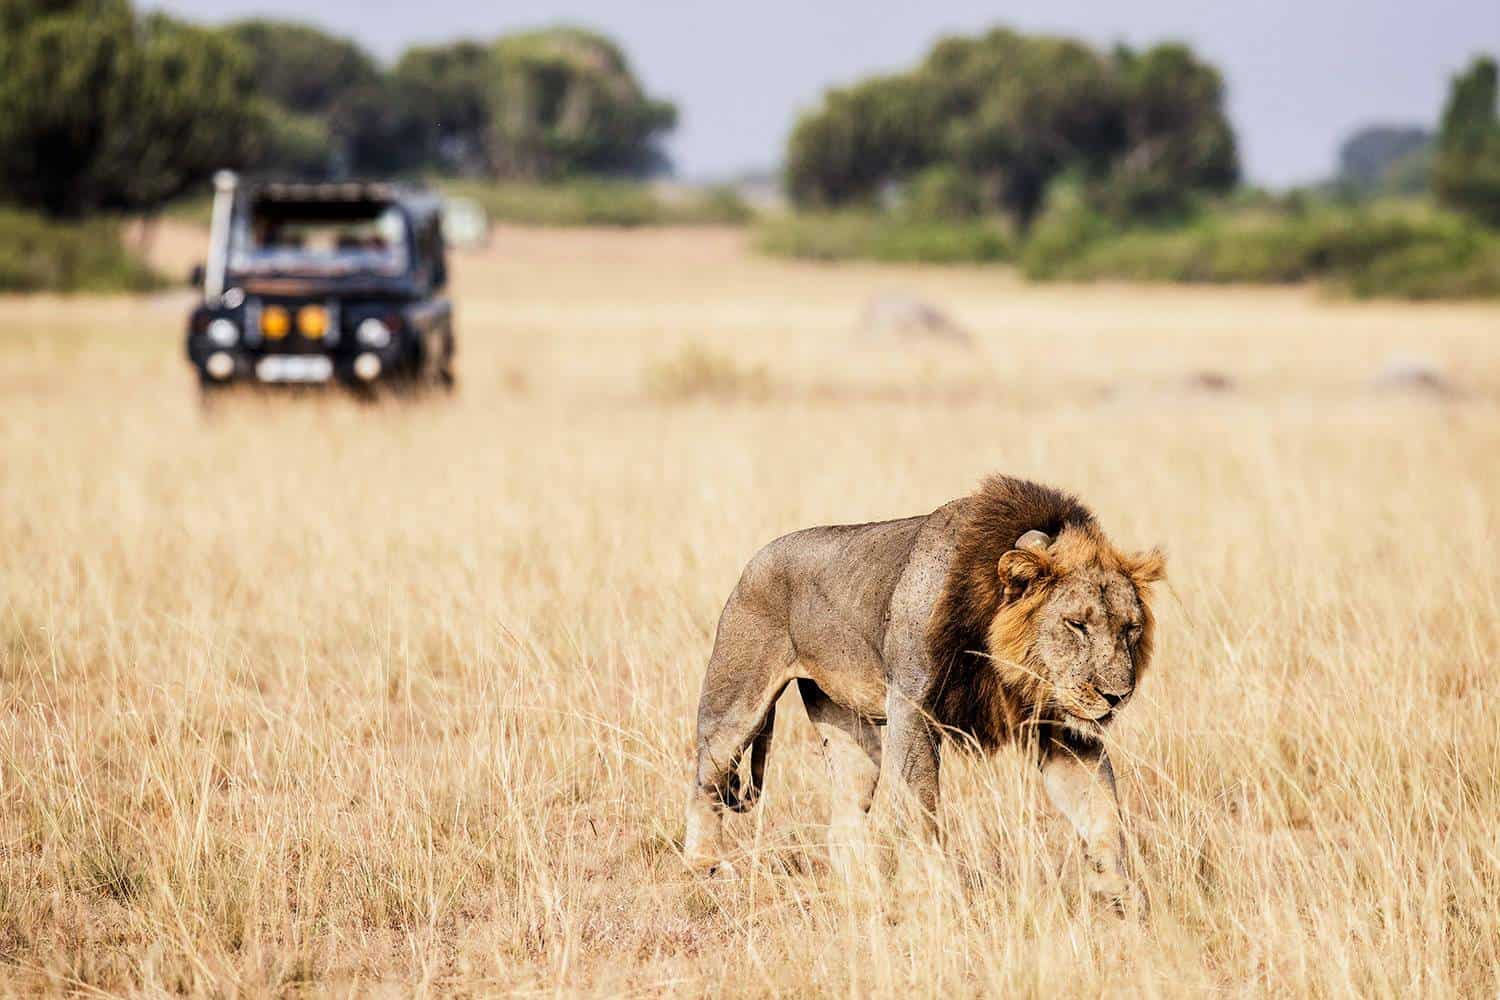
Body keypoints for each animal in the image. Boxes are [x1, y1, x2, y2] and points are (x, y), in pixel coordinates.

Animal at [687, 476, 1164, 905]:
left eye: (1130, 628)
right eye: (1076, 624)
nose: (1117, 695)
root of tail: (756, 559)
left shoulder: (1063, 727)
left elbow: (1102, 809)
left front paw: (1120, 895)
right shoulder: (910, 708)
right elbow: (921, 807)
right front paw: (934, 891)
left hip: (850, 732)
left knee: (845, 815)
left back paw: (866, 893)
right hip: (736, 706)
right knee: (705, 781)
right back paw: (706, 867)